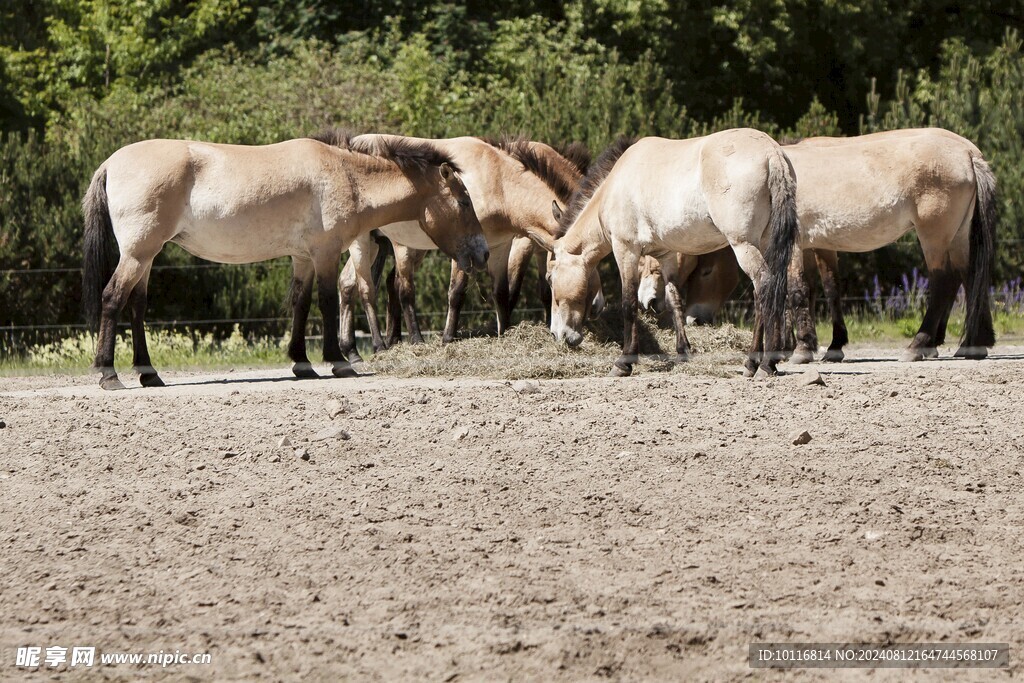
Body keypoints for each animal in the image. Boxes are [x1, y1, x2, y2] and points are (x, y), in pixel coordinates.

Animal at [77, 133, 485, 389]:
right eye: (464, 201)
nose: (482, 253)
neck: (347, 177)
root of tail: (110, 163)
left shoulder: (303, 257)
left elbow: (301, 306)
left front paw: (302, 362)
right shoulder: (325, 253)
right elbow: (326, 303)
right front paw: (338, 361)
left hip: (146, 257)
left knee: (137, 306)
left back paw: (149, 373)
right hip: (138, 253)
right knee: (113, 298)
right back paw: (109, 374)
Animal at [337, 135, 593, 360]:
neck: (498, 180)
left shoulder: (500, 246)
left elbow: (502, 292)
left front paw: (505, 334)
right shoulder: (469, 248)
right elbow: (457, 291)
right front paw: (448, 338)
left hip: (378, 244)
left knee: (350, 283)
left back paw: (355, 349)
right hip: (383, 244)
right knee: (389, 288)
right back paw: (401, 342)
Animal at [532, 129, 802, 378]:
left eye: (550, 278)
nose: (558, 333)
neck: (615, 184)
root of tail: (771, 153)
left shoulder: (625, 250)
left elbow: (628, 302)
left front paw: (624, 362)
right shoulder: (666, 255)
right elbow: (674, 299)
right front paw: (683, 351)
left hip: (743, 245)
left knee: (765, 286)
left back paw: (764, 363)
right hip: (764, 244)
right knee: (766, 291)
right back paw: (757, 362)